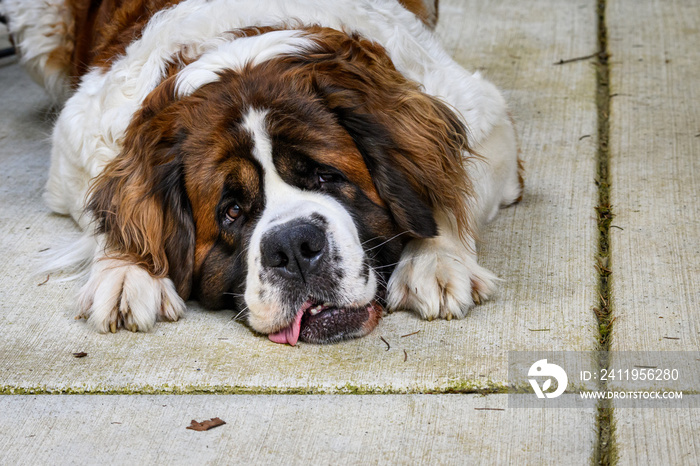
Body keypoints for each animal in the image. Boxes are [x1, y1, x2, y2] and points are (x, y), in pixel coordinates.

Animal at [2, 0, 524, 342]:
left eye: (325, 177)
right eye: (231, 211)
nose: (294, 247)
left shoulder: (486, 118)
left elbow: (450, 191)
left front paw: (436, 260)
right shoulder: (73, 145)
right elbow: (109, 207)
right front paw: (128, 269)